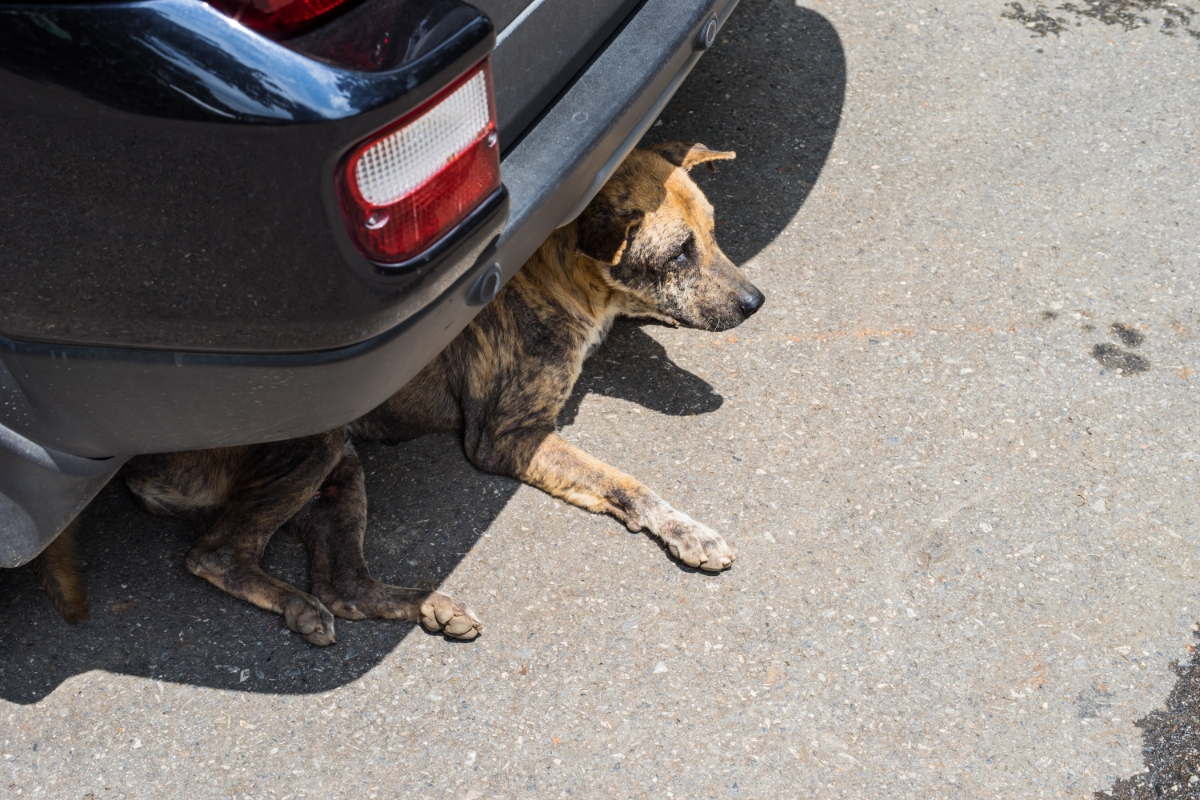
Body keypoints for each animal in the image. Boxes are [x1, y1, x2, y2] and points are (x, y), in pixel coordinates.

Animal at [32, 142, 763, 642]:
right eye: (678, 253)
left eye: (714, 232)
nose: (756, 301)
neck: (558, 272)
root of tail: (133, 461)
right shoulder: (510, 437)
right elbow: (626, 482)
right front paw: (687, 530)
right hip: (311, 446)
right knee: (217, 554)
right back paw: (300, 604)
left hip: (337, 477)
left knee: (343, 584)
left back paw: (422, 604)